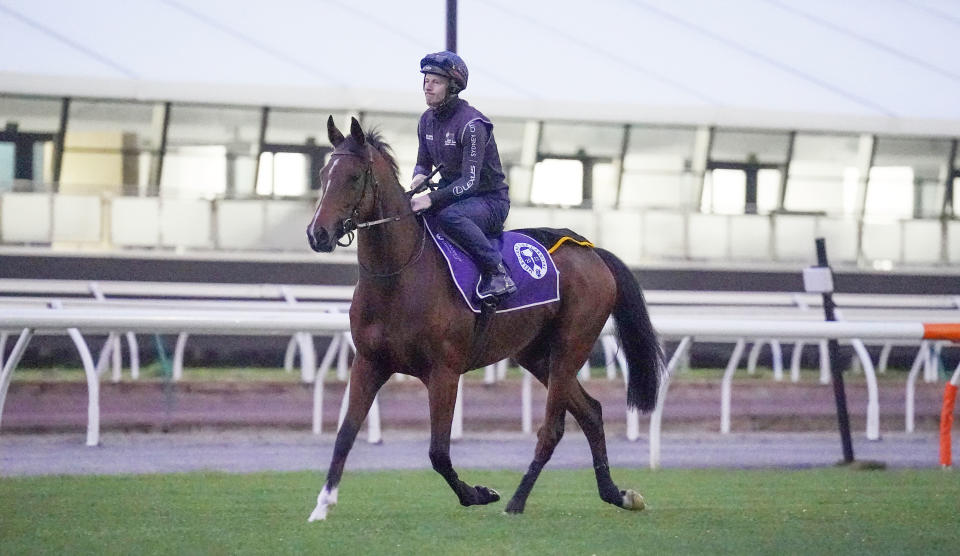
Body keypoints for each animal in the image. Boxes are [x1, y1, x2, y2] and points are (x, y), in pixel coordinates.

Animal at [306, 117, 660, 520]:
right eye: (323, 173)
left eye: (353, 177)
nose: (317, 234)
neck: (399, 276)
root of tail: (593, 252)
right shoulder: (369, 363)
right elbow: (345, 434)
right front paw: (322, 504)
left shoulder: (443, 371)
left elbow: (438, 452)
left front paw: (477, 493)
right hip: (537, 355)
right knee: (591, 412)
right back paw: (616, 493)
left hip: (571, 347)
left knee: (552, 429)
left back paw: (517, 500)